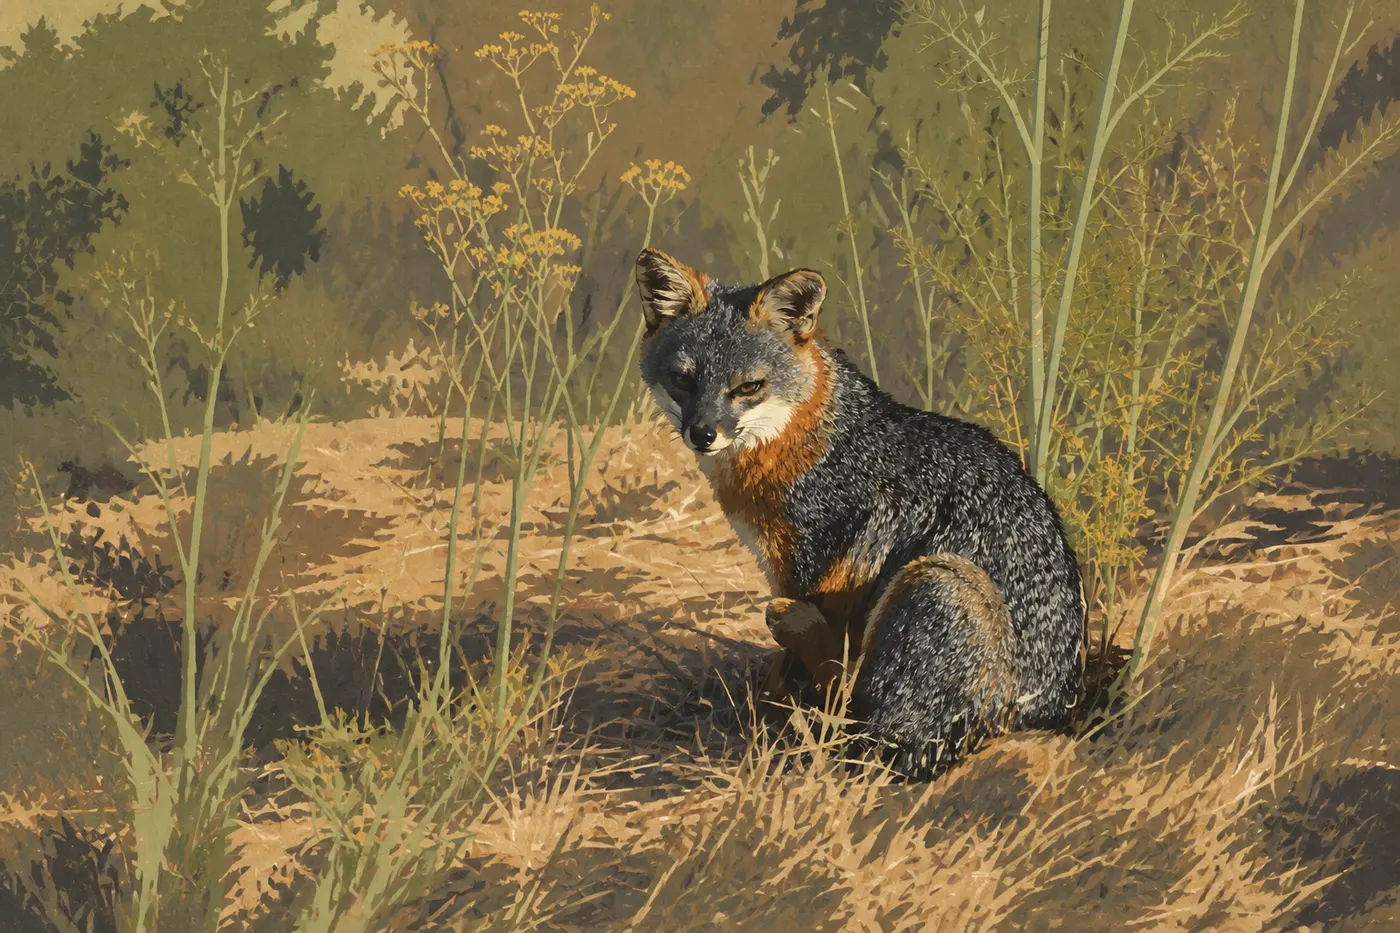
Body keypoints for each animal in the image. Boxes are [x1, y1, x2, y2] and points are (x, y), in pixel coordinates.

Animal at [635, 247, 1087, 775]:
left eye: (748, 387)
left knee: (860, 717)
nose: (702, 434)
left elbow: (788, 668)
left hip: (938, 579)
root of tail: (1044, 715)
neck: (806, 440)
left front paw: (764, 714)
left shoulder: (814, 574)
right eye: (683, 380)